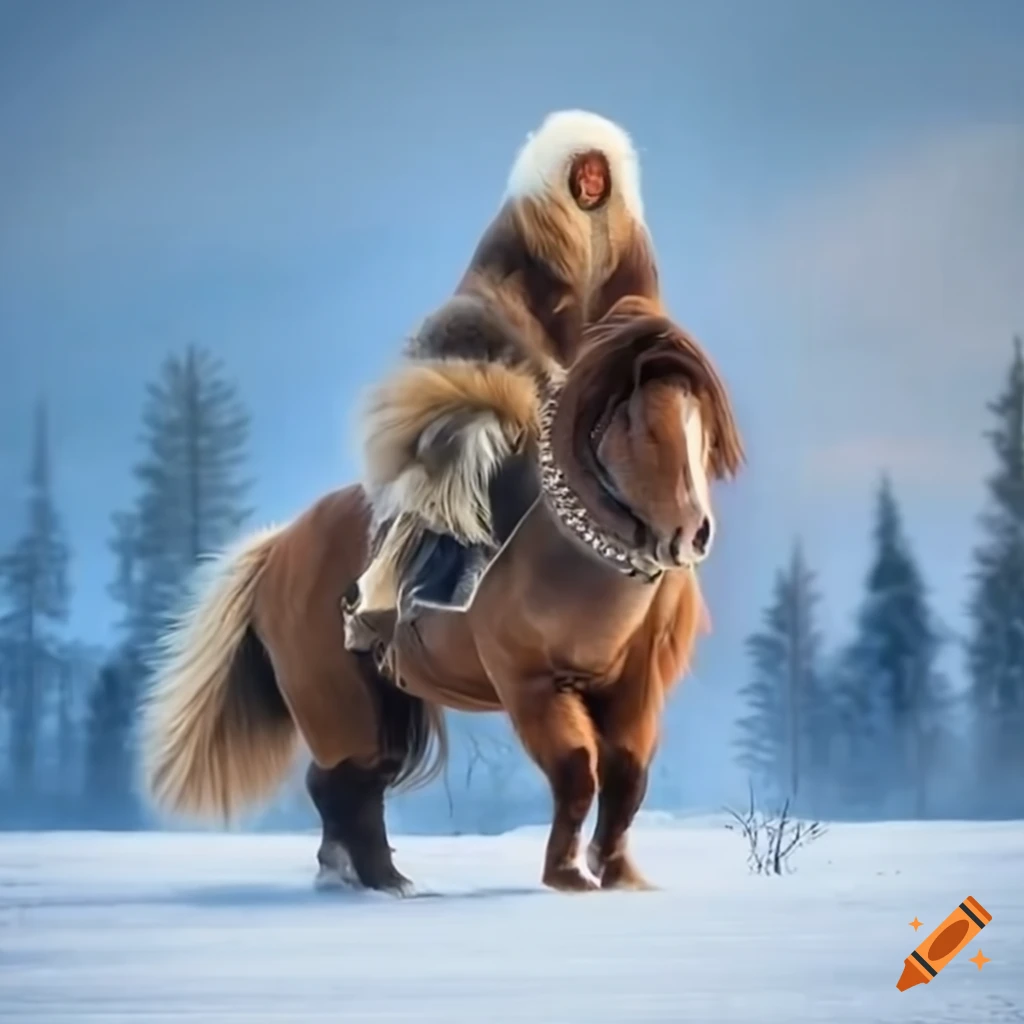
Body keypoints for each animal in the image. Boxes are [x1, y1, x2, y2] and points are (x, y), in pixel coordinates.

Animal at [141, 297, 744, 895]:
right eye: (639, 425)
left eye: (702, 428)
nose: (691, 534)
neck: (576, 561)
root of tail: (279, 547)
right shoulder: (530, 687)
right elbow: (576, 769)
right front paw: (568, 874)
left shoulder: (635, 690)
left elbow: (627, 776)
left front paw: (621, 876)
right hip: (338, 701)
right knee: (346, 780)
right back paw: (378, 878)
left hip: (380, 704)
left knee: (349, 782)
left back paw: (363, 874)